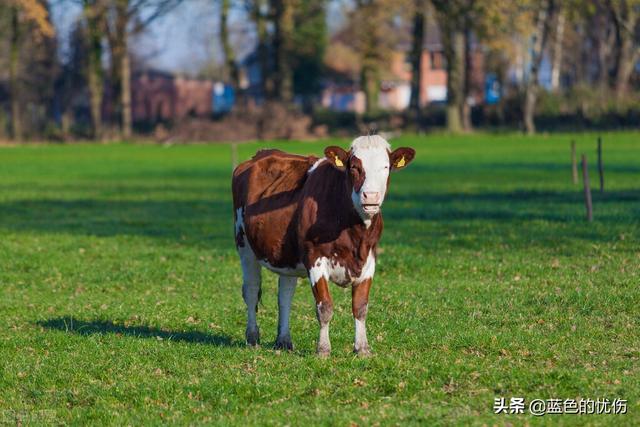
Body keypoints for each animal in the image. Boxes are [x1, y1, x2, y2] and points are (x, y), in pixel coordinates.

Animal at [230, 135, 416, 356]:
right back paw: (252, 337)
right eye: (354, 167)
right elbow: (324, 307)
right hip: (244, 245)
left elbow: (360, 306)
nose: (370, 197)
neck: (353, 232)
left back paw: (283, 341)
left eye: (386, 167)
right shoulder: (314, 257)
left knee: (285, 295)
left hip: (287, 254)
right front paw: (323, 350)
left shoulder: (369, 259)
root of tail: (260, 154)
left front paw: (362, 348)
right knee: (251, 290)